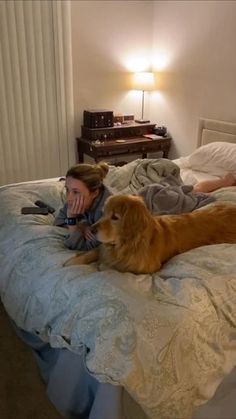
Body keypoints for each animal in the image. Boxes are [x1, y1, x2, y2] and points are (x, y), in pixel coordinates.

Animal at [64, 196, 236, 276]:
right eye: (103, 213)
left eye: (115, 217)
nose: (92, 229)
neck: (128, 243)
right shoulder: (104, 249)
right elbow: (93, 252)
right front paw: (72, 261)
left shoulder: (145, 267)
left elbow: (115, 266)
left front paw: (102, 265)